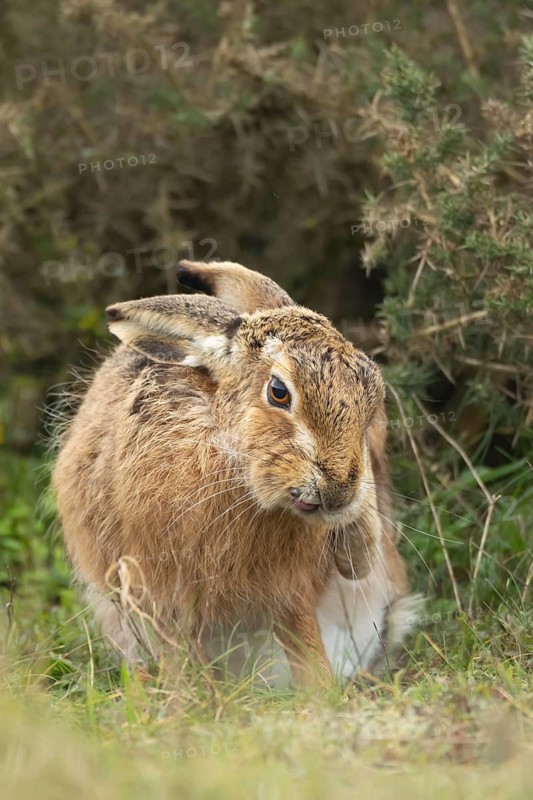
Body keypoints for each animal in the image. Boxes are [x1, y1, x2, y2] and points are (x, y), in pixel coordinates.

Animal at [52, 259, 417, 686]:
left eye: (371, 398)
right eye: (278, 391)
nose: (340, 489)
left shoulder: (289, 593)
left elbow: (305, 643)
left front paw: (320, 690)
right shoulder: (158, 589)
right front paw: (190, 696)